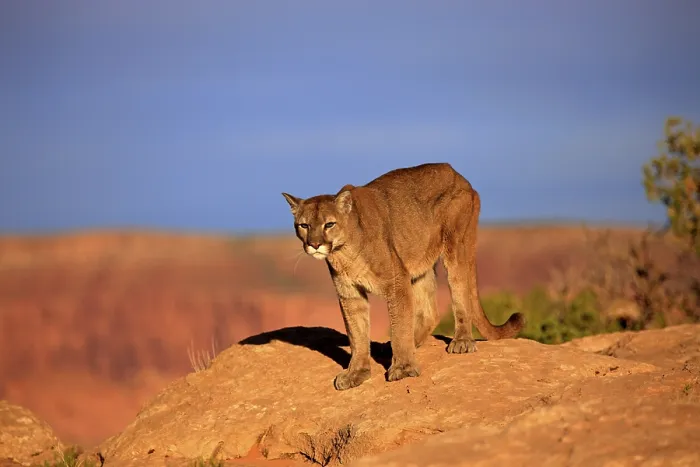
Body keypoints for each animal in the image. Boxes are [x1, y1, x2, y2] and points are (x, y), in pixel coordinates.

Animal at [282, 162, 524, 390]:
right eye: (304, 225)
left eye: (329, 224)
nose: (314, 244)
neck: (345, 252)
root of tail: (459, 176)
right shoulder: (350, 293)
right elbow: (357, 334)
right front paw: (357, 372)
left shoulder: (397, 283)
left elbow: (399, 325)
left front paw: (403, 368)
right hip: (419, 265)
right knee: (430, 312)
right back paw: (391, 347)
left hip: (456, 246)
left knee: (460, 292)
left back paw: (461, 341)